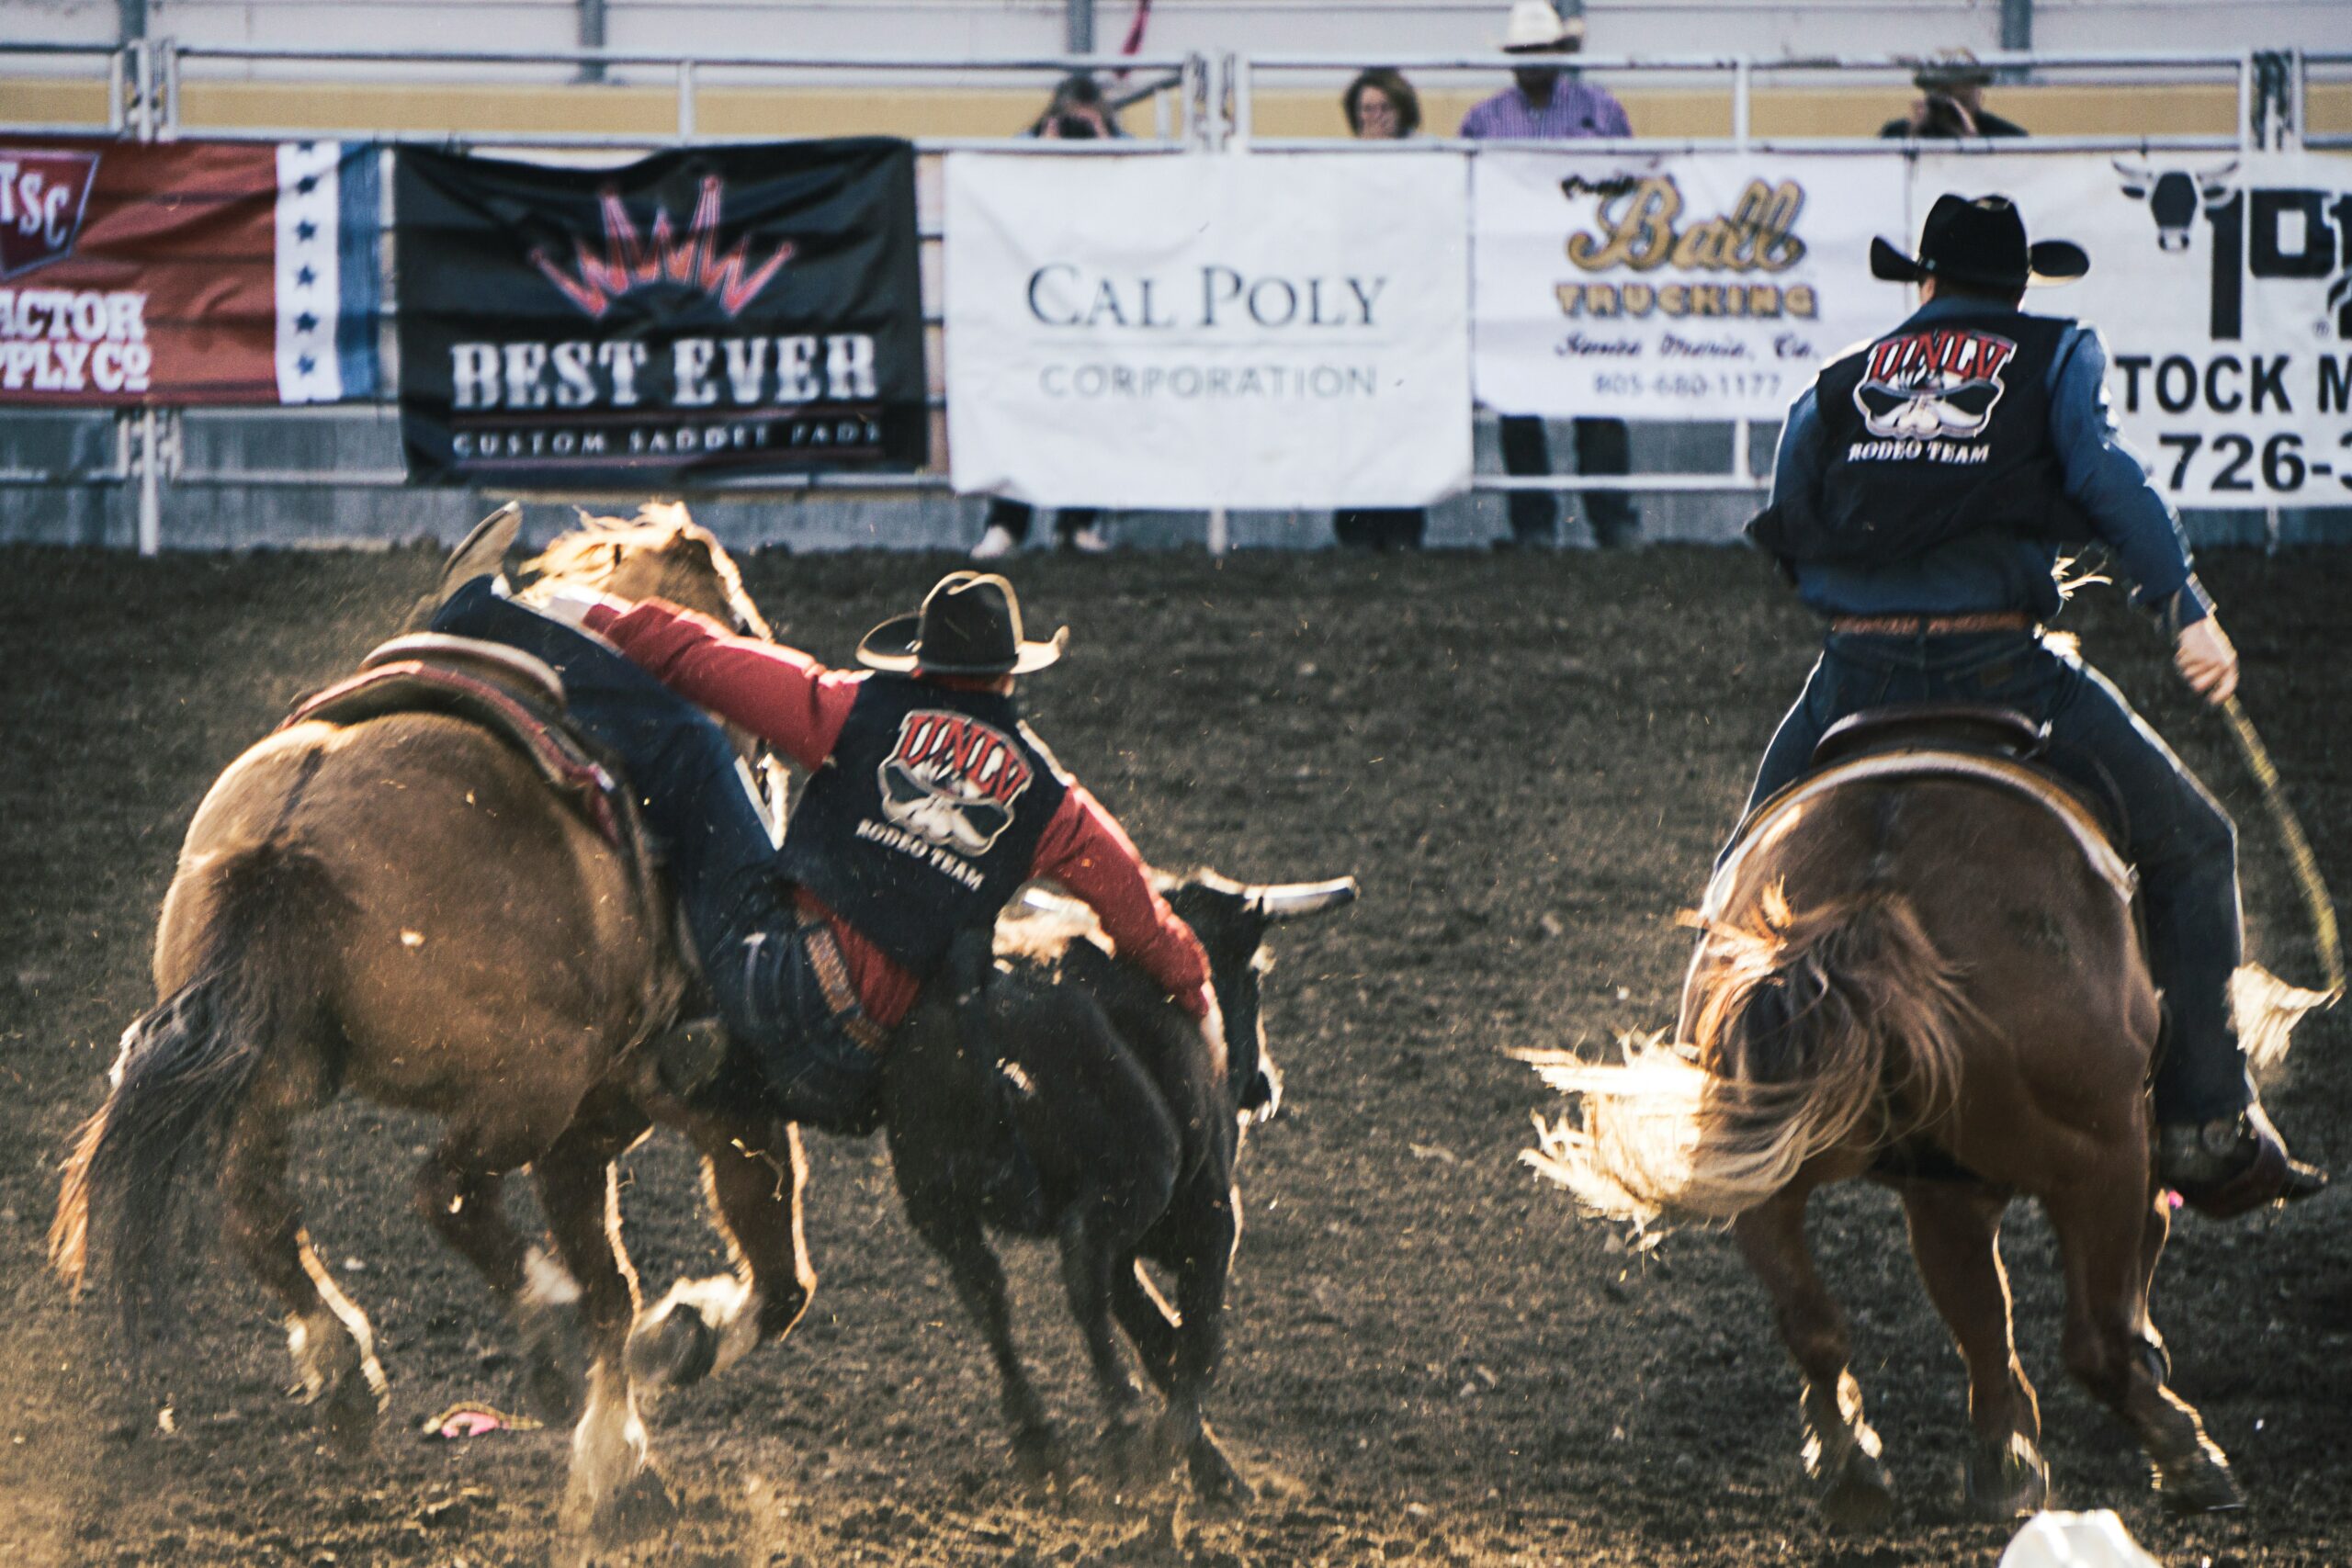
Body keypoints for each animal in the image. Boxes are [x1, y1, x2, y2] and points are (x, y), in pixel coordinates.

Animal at [48, 505, 818, 1532]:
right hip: (526, 1086)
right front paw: (656, 1383)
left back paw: (347, 1377)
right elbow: (751, 1274)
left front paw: (620, 1441)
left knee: (261, 1214)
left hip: (274, 1078)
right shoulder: (673, 1101)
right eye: (741, 619)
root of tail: (288, 837)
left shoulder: (589, 1125)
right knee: (443, 1191)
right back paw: (538, 1325)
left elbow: (620, 1284)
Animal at [1505, 766, 2295, 1523]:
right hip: (2099, 1147)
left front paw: (2004, 1458)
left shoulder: (1943, 1185)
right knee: (2095, 1335)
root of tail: (1870, 905)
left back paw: (1854, 1467)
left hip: (1763, 1164)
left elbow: (1979, 1313)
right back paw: (2189, 1458)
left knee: (1814, 1323)